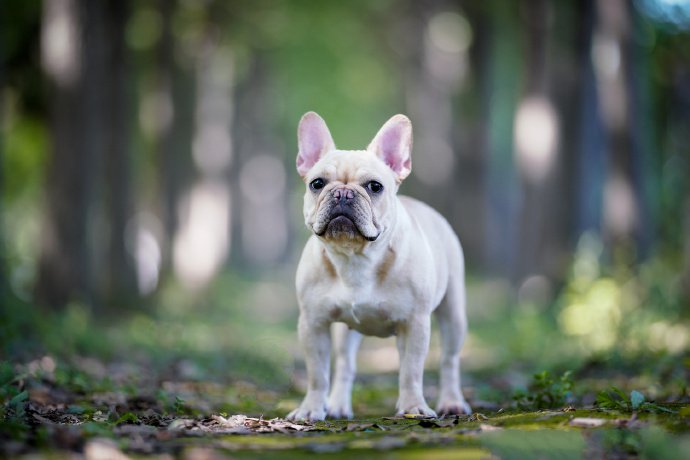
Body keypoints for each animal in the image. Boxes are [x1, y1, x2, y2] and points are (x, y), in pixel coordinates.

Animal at [284, 112, 468, 420]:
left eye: (374, 186)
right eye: (317, 184)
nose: (343, 193)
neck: (355, 258)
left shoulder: (415, 323)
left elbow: (411, 371)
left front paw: (413, 407)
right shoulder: (313, 323)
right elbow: (317, 374)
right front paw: (311, 409)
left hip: (453, 313)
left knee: (449, 360)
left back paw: (451, 401)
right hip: (345, 332)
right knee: (345, 365)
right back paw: (338, 406)